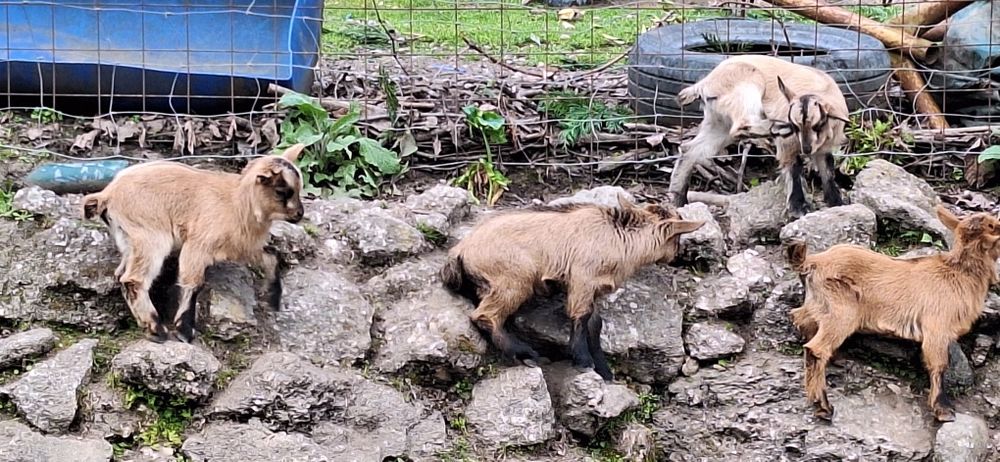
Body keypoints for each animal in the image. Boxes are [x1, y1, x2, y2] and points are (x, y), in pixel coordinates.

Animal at [82, 144, 307, 343]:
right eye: (281, 191)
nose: (299, 214)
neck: (237, 203)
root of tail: (107, 195)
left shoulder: (243, 246)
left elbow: (270, 256)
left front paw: (273, 298)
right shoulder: (199, 245)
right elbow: (193, 283)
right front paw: (184, 332)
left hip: (130, 240)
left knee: (121, 276)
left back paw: (147, 325)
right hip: (150, 236)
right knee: (133, 279)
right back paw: (157, 330)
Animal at [439, 195, 705, 381]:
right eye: (677, 237)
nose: (676, 256)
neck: (619, 236)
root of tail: (460, 251)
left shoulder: (593, 288)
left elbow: (595, 323)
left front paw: (604, 370)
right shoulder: (582, 279)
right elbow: (581, 316)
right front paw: (583, 360)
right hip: (514, 281)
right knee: (485, 316)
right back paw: (526, 353)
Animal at [668, 55, 850, 219]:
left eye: (818, 125)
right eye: (796, 124)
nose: (806, 148)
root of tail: (704, 83)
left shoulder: (823, 149)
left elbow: (828, 172)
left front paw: (837, 203)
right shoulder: (789, 144)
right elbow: (794, 166)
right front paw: (798, 208)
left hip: (719, 123)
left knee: (690, 150)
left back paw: (678, 199)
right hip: (747, 88)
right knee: (741, 125)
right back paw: (778, 127)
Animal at [785, 205, 1000, 422]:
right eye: (993, 226)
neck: (959, 273)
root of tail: (812, 262)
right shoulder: (937, 328)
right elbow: (939, 365)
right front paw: (943, 410)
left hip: (818, 306)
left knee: (801, 322)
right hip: (841, 312)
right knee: (816, 349)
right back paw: (823, 406)